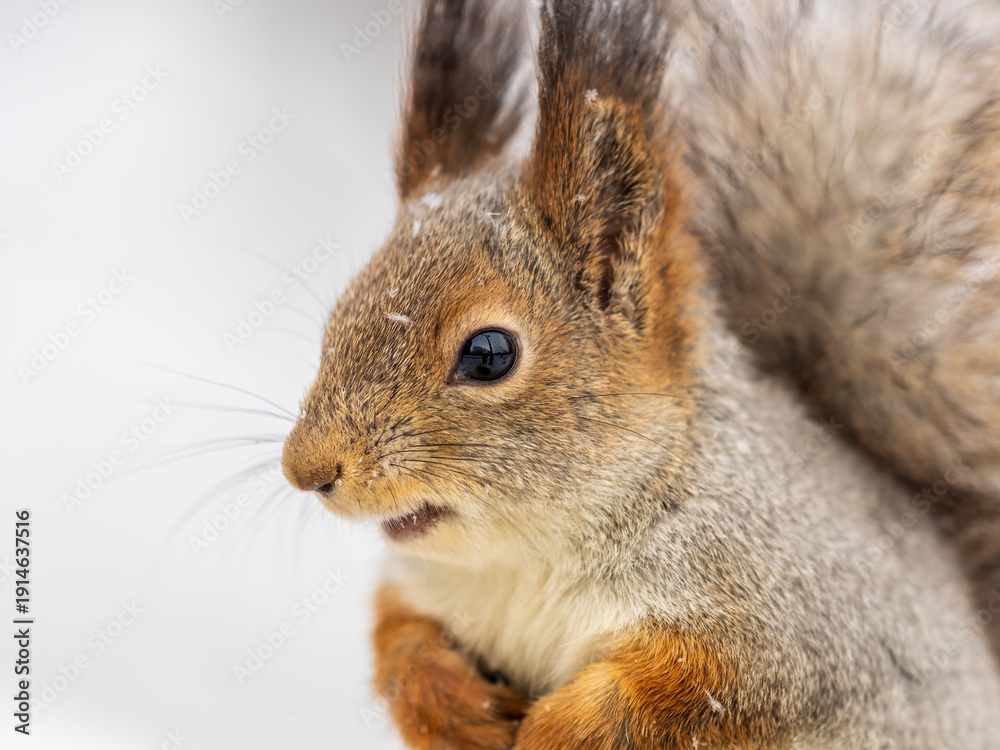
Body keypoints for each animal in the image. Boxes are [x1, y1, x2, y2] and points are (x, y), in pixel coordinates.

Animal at [281, 0, 1000, 747]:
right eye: (341, 311)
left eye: (488, 354)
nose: (306, 469)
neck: (528, 557)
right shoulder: (424, 588)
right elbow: (401, 640)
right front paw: (452, 705)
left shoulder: (805, 626)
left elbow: (699, 694)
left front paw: (560, 728)